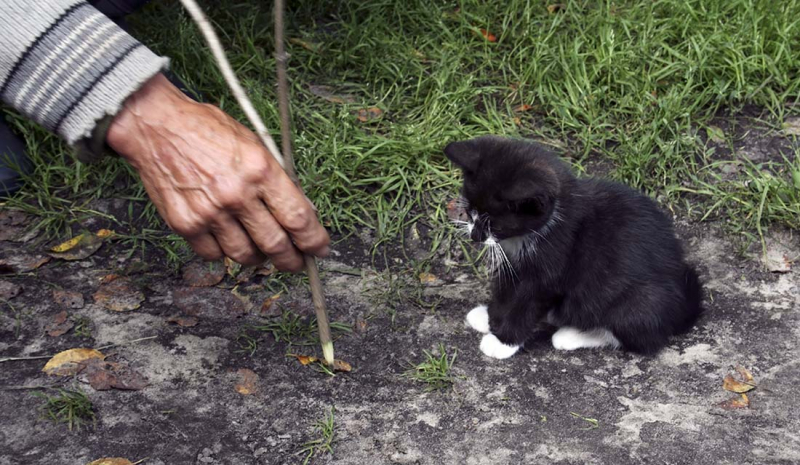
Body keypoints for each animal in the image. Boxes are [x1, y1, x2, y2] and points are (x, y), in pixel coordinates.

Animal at [446, 134, 704, 356]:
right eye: (470, 212)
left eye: (495, 225)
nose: (475, 236)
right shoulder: (512, 262)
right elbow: (506, 290)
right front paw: (489, 318)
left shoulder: (550, 269)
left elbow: (524, 305)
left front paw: (503, 342)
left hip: (640, 300)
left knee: (635, 334)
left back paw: (572, 334)